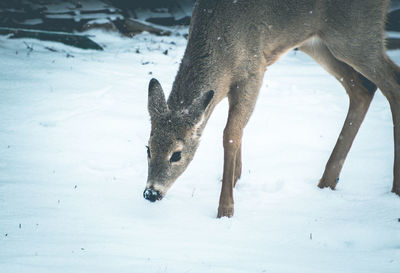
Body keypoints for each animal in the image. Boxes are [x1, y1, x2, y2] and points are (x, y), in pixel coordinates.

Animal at [142, 0, 398, 217]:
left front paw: (226, 208)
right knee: (363, 89)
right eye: (148, 148)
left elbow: (230, 134)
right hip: (317, 42)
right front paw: (235, 178)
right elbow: (237, 131)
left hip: (355, 31)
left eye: (177, 154)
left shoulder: (255, 69)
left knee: (392, 82)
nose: (151, 193)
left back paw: (394, 189)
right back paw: (327, 181)